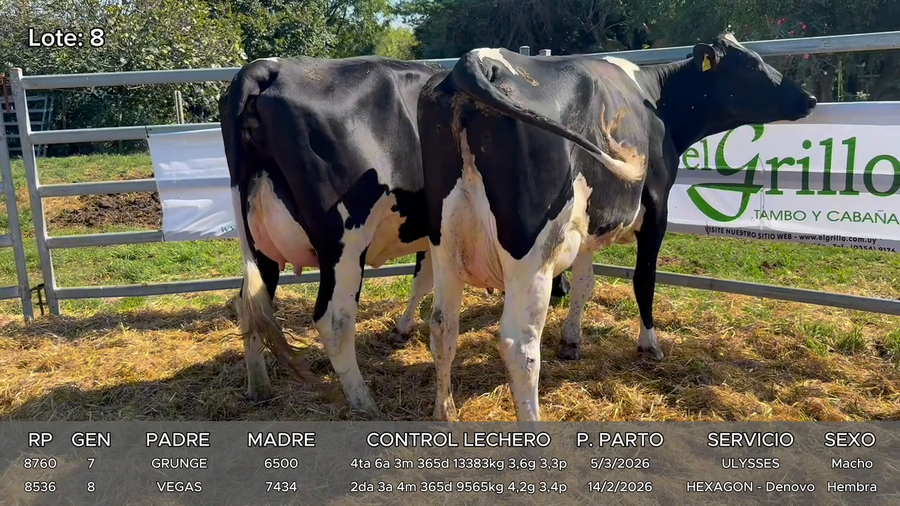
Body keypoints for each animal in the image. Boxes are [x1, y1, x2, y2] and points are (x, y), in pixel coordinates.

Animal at [219, 55, 569, 417]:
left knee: (249, 304)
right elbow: (423, 283)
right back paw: (364, 403)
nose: (561, 291)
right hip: (345, 245)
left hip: (258, 245)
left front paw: (401, 329)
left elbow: (421, 281)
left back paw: (258, 387)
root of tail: (267, 68)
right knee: (334, 320)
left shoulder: (434, 235)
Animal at [417, 33, 817, 422]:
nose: (809, 98)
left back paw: (445, 412)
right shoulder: (657, 209)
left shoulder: (587, 226)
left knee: (441, 326)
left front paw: (571, 341)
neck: (658, 102)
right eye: (750, 65)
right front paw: (649, 345)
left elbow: (584, 284)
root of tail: (477, 61)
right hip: (530, 256)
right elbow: (644, 279)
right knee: (519, 346)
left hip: (445, 244)